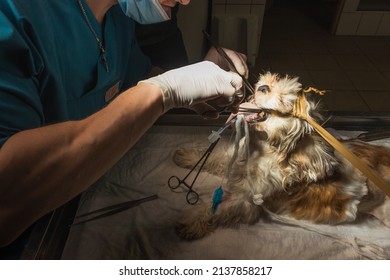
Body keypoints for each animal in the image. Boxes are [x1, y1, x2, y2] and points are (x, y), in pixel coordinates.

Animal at [174, 72, 390, 241]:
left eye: (283, 100)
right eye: (272, 82)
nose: (262, 86)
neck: (260, 149)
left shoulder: (247, 202)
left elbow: (218, 209)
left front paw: (192, 221)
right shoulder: (233, 160)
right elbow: (214, 157)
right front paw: (188, 156)